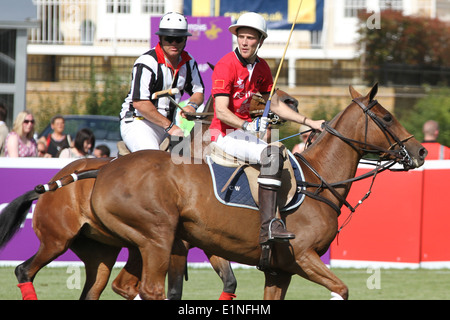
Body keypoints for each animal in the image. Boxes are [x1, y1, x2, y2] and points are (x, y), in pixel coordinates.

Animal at [89, 84, 428, 298]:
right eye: (387, 117)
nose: (421, 151)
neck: (317, 181)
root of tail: (105, 171)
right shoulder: (303, 256)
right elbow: (342, 289)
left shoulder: (280, 271)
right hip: (156, 239)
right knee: (149, 289)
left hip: (143, 243)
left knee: (124, 286)